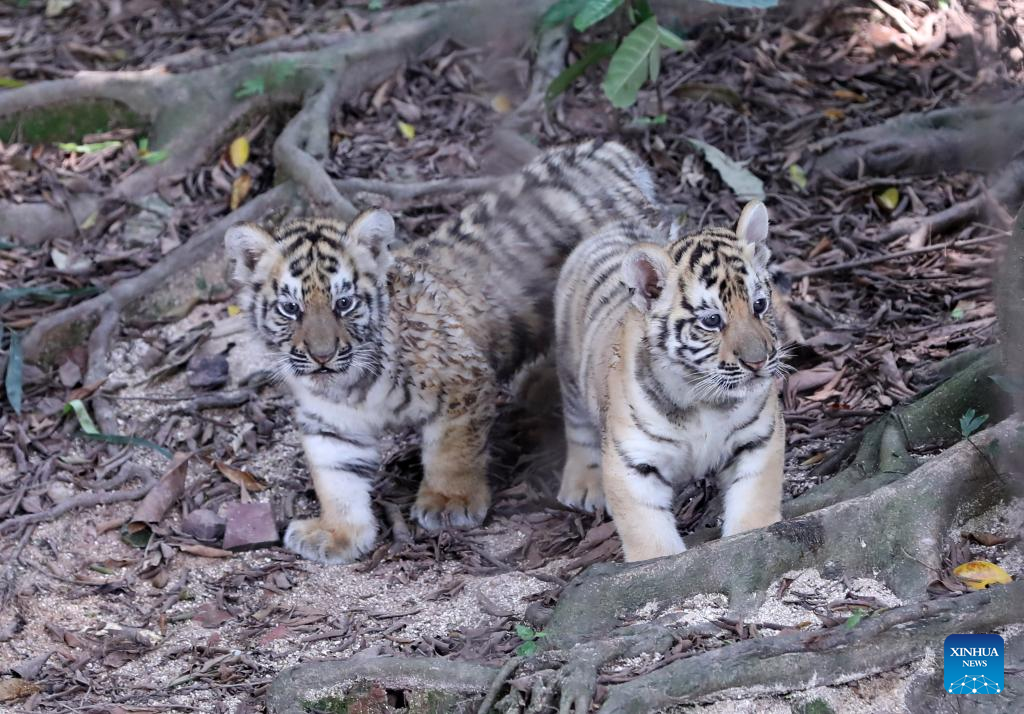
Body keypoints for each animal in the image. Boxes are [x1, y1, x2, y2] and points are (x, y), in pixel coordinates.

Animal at [224, 140, 664, 563]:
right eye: (290, 308)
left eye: (343, 303)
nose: (321, 356)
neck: (350, 384)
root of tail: (611, 152)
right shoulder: (329, 421)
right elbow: (336, 479)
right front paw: (336, 533)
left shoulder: (463, 384)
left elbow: (452, 452)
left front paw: (449, 502)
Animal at [554, 201, 785, 562]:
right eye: (712, 320)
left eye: (759, 305)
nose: (758, 361)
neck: (703, 398)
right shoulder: (632, 461)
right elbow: (649, 535)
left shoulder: (758, 438)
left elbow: (754, 502)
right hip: (569, 368)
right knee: (576, 424)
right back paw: (583, 485)